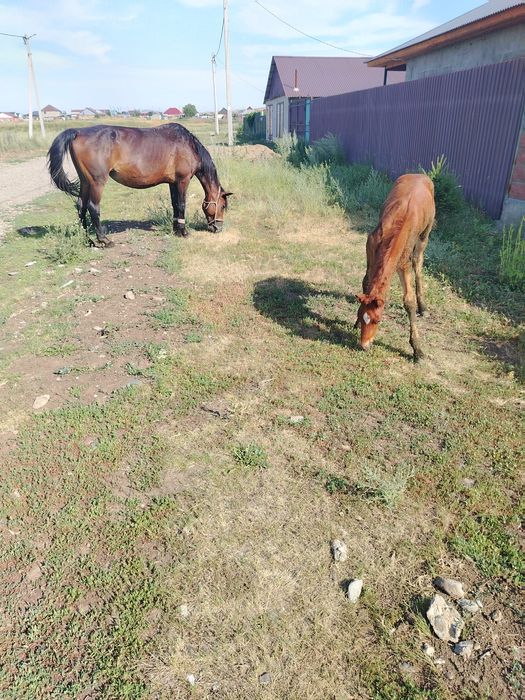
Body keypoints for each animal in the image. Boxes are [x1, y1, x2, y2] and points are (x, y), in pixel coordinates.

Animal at [47, 123, 232, 247]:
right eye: (222, 206)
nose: (218, 228)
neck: (188, 145)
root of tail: (77, 132)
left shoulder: (172, 183)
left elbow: (175, 205)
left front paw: (175, 230)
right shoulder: (182, 180)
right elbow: (181, 204)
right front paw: (184, 232)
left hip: (85, 182)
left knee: (81, 206)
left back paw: (88, 240)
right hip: (96, 182)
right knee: (93, 207)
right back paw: (104, 240)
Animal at [354, 173, 435, 361]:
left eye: (378, 320)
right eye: (361, 315)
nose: (364, 345)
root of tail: (420, 174)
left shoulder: (403, 263)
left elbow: (408, 301)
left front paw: (417, 350)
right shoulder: (371, 248)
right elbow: (366, 281)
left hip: (424, 236)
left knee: (418, 263)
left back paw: (423, 307)